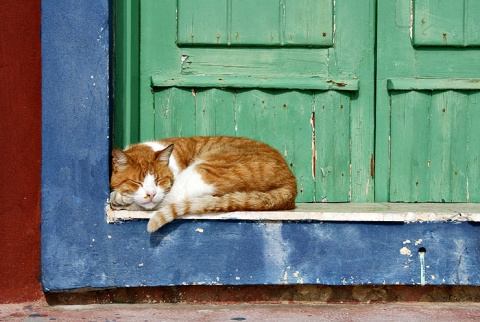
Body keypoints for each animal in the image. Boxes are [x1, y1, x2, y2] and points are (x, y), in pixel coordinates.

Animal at [110, 135, 296, 231]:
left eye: (159, 180)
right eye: (136, 181)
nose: (151, 194)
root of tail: (291, 182)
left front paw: (121, 199)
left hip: (201, 172)